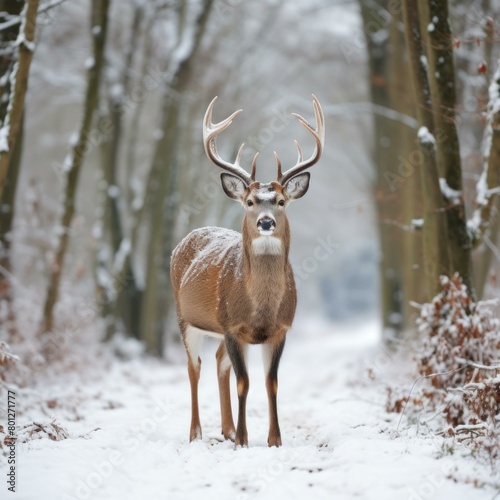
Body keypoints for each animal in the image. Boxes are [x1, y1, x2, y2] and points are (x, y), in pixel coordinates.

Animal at [172, 95, 326, 448]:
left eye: (281, 201)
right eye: (250, 201)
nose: (265, 222)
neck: (261, 310)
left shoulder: (281, 329)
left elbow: (271, 383)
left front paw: (274, 439)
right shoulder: (232, 326)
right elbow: (244, 382)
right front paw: (244, 440)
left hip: (216, 329)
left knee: (218, 363)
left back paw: (226, 429)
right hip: (185, 317)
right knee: (194, 366)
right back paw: (197, 433)